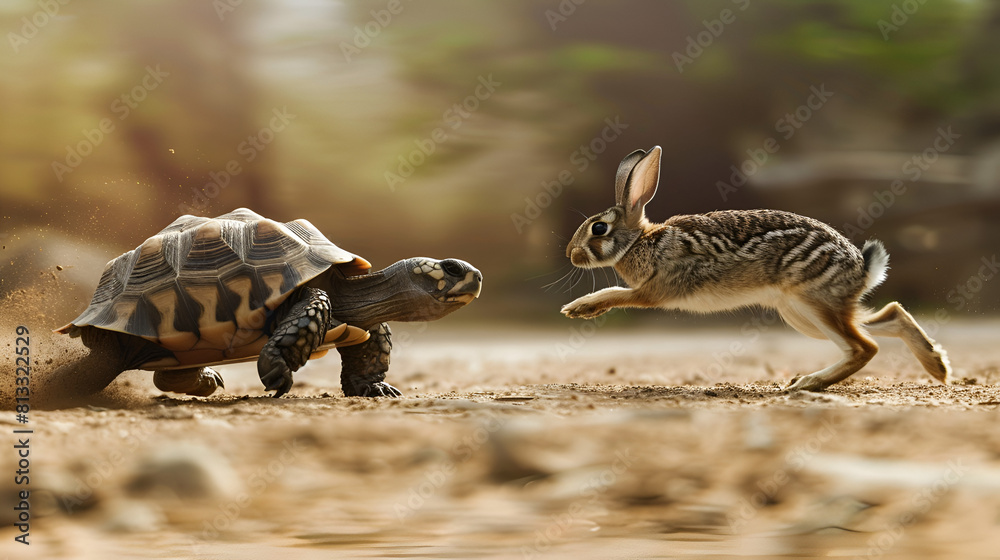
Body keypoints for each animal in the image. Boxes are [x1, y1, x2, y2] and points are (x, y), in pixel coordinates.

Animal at [560, 146, 951, 391]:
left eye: (599, 229)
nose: (571, 254)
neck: (643, 241)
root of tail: (861, 268)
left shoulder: (655, 290)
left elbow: (616, 293)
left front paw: (579, 308)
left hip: (812, 302)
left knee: (863, 347)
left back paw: (807, 383)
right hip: (802, 315)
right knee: (887, 316)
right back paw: (937, 366)